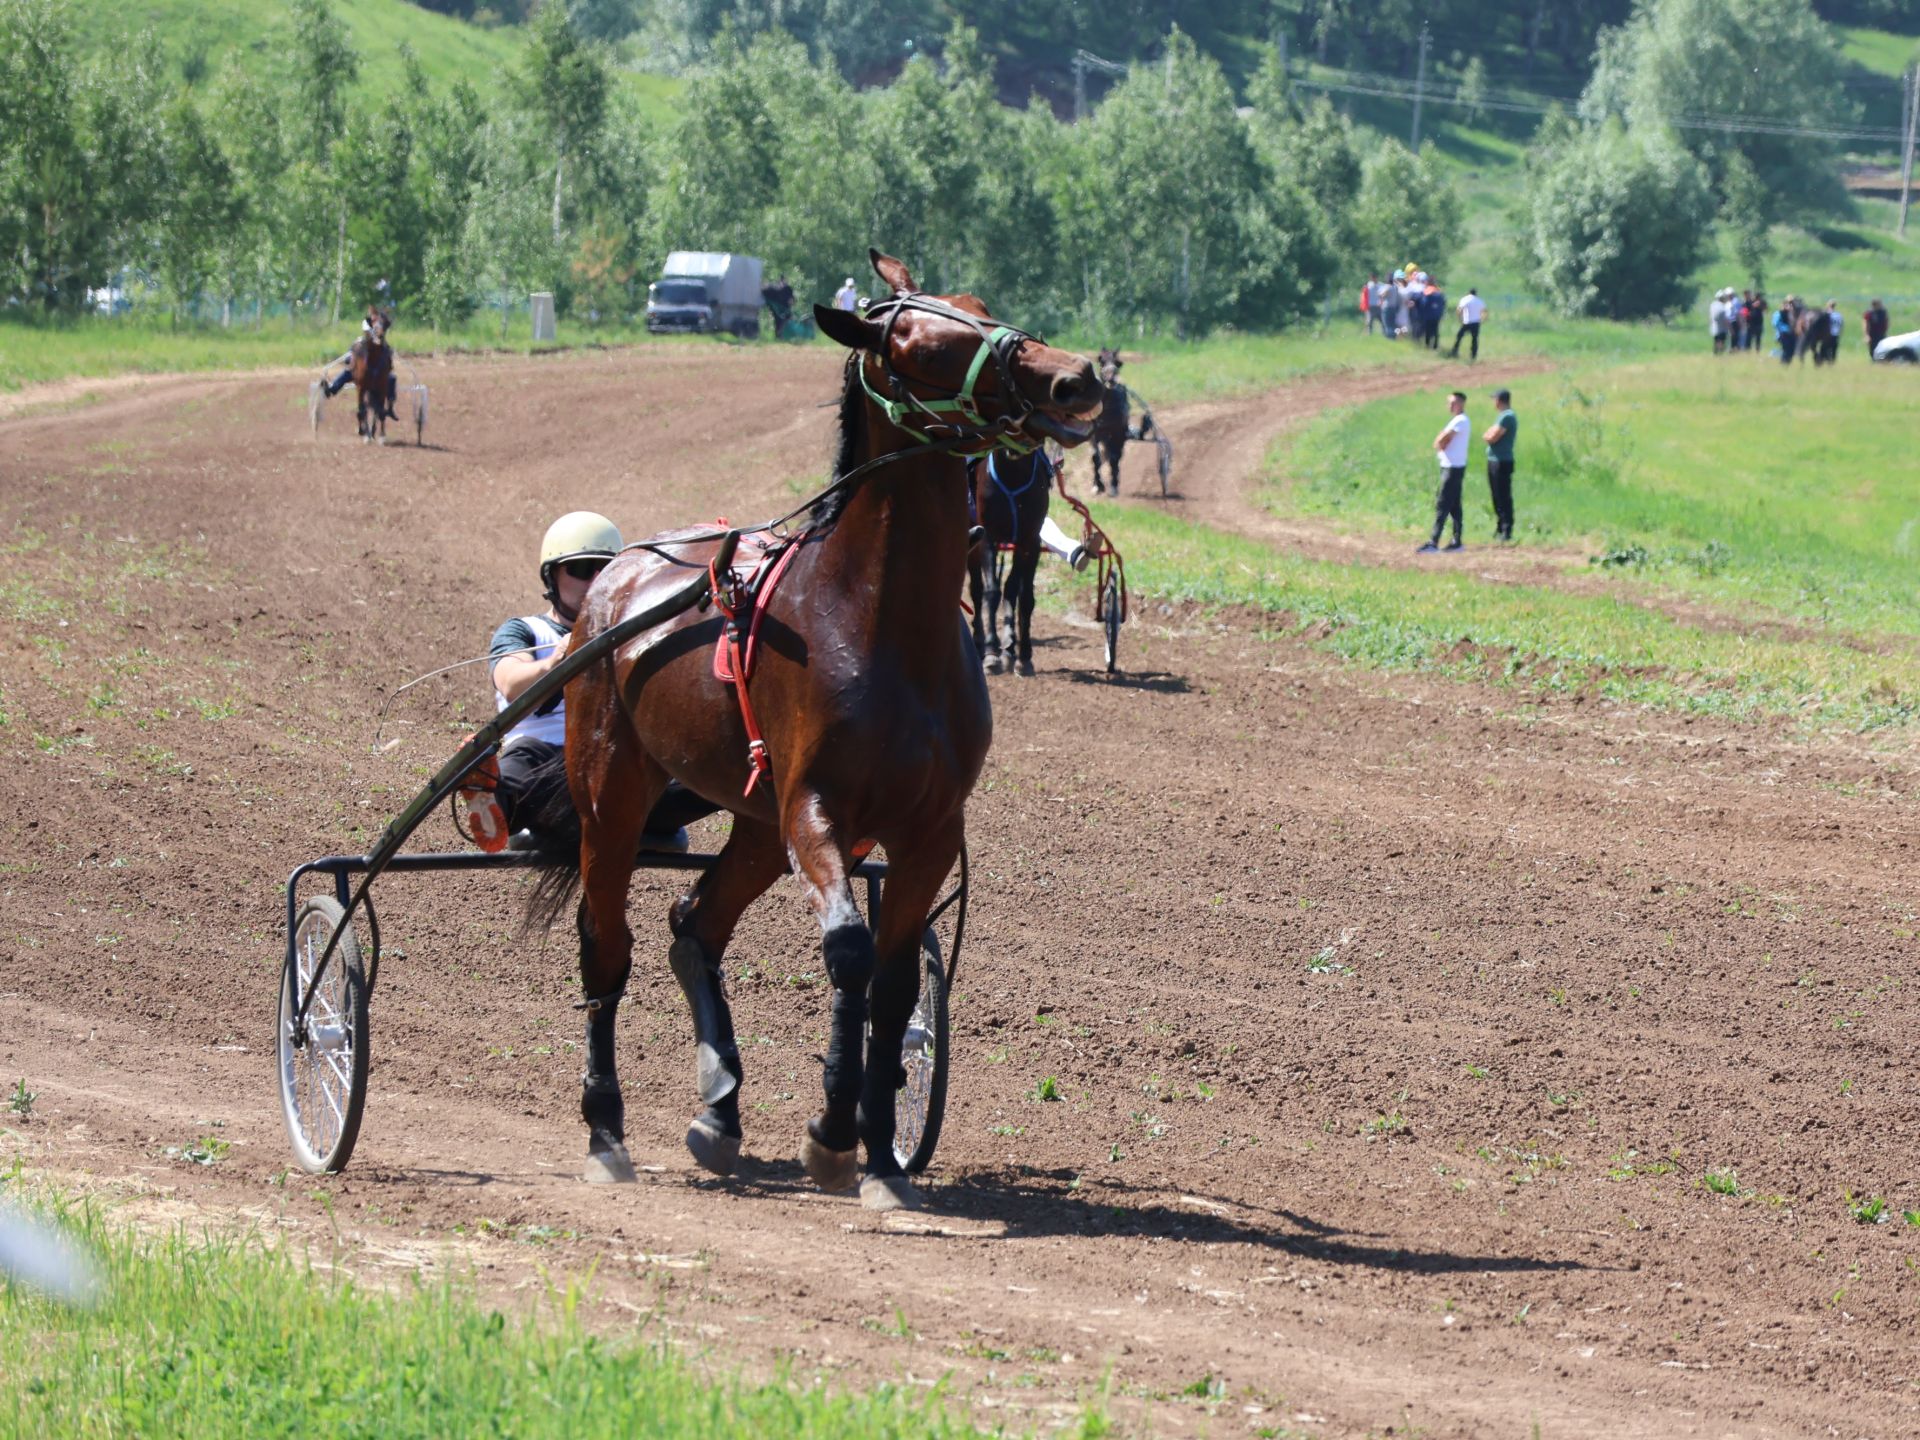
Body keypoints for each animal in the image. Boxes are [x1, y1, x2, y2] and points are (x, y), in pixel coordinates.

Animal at [967, 449, 1059, 679]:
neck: (1013, 472)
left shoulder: (1030, 540)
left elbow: (1021, 594)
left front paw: (1021, 655)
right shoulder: (987, 537)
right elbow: (991, 592)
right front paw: (992, 653)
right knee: (976, 590)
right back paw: (979, 642)